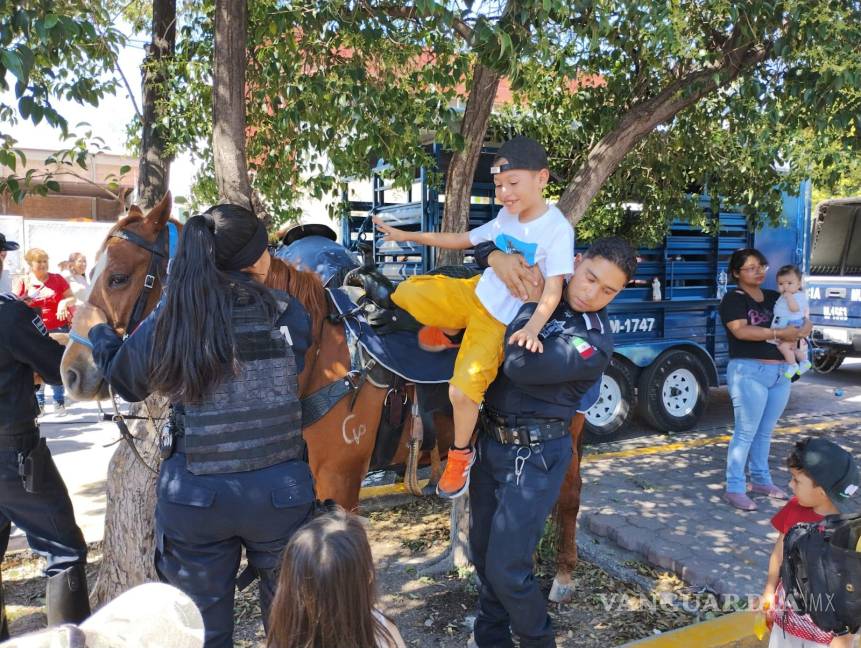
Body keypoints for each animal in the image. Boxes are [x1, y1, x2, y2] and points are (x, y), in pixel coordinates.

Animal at [60, 194, 588, 604]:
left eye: (119, 277)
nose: (72, 371)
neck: (318, 357)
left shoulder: (340, 485)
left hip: (570, 435)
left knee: (569, 493)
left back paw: (562, 577)